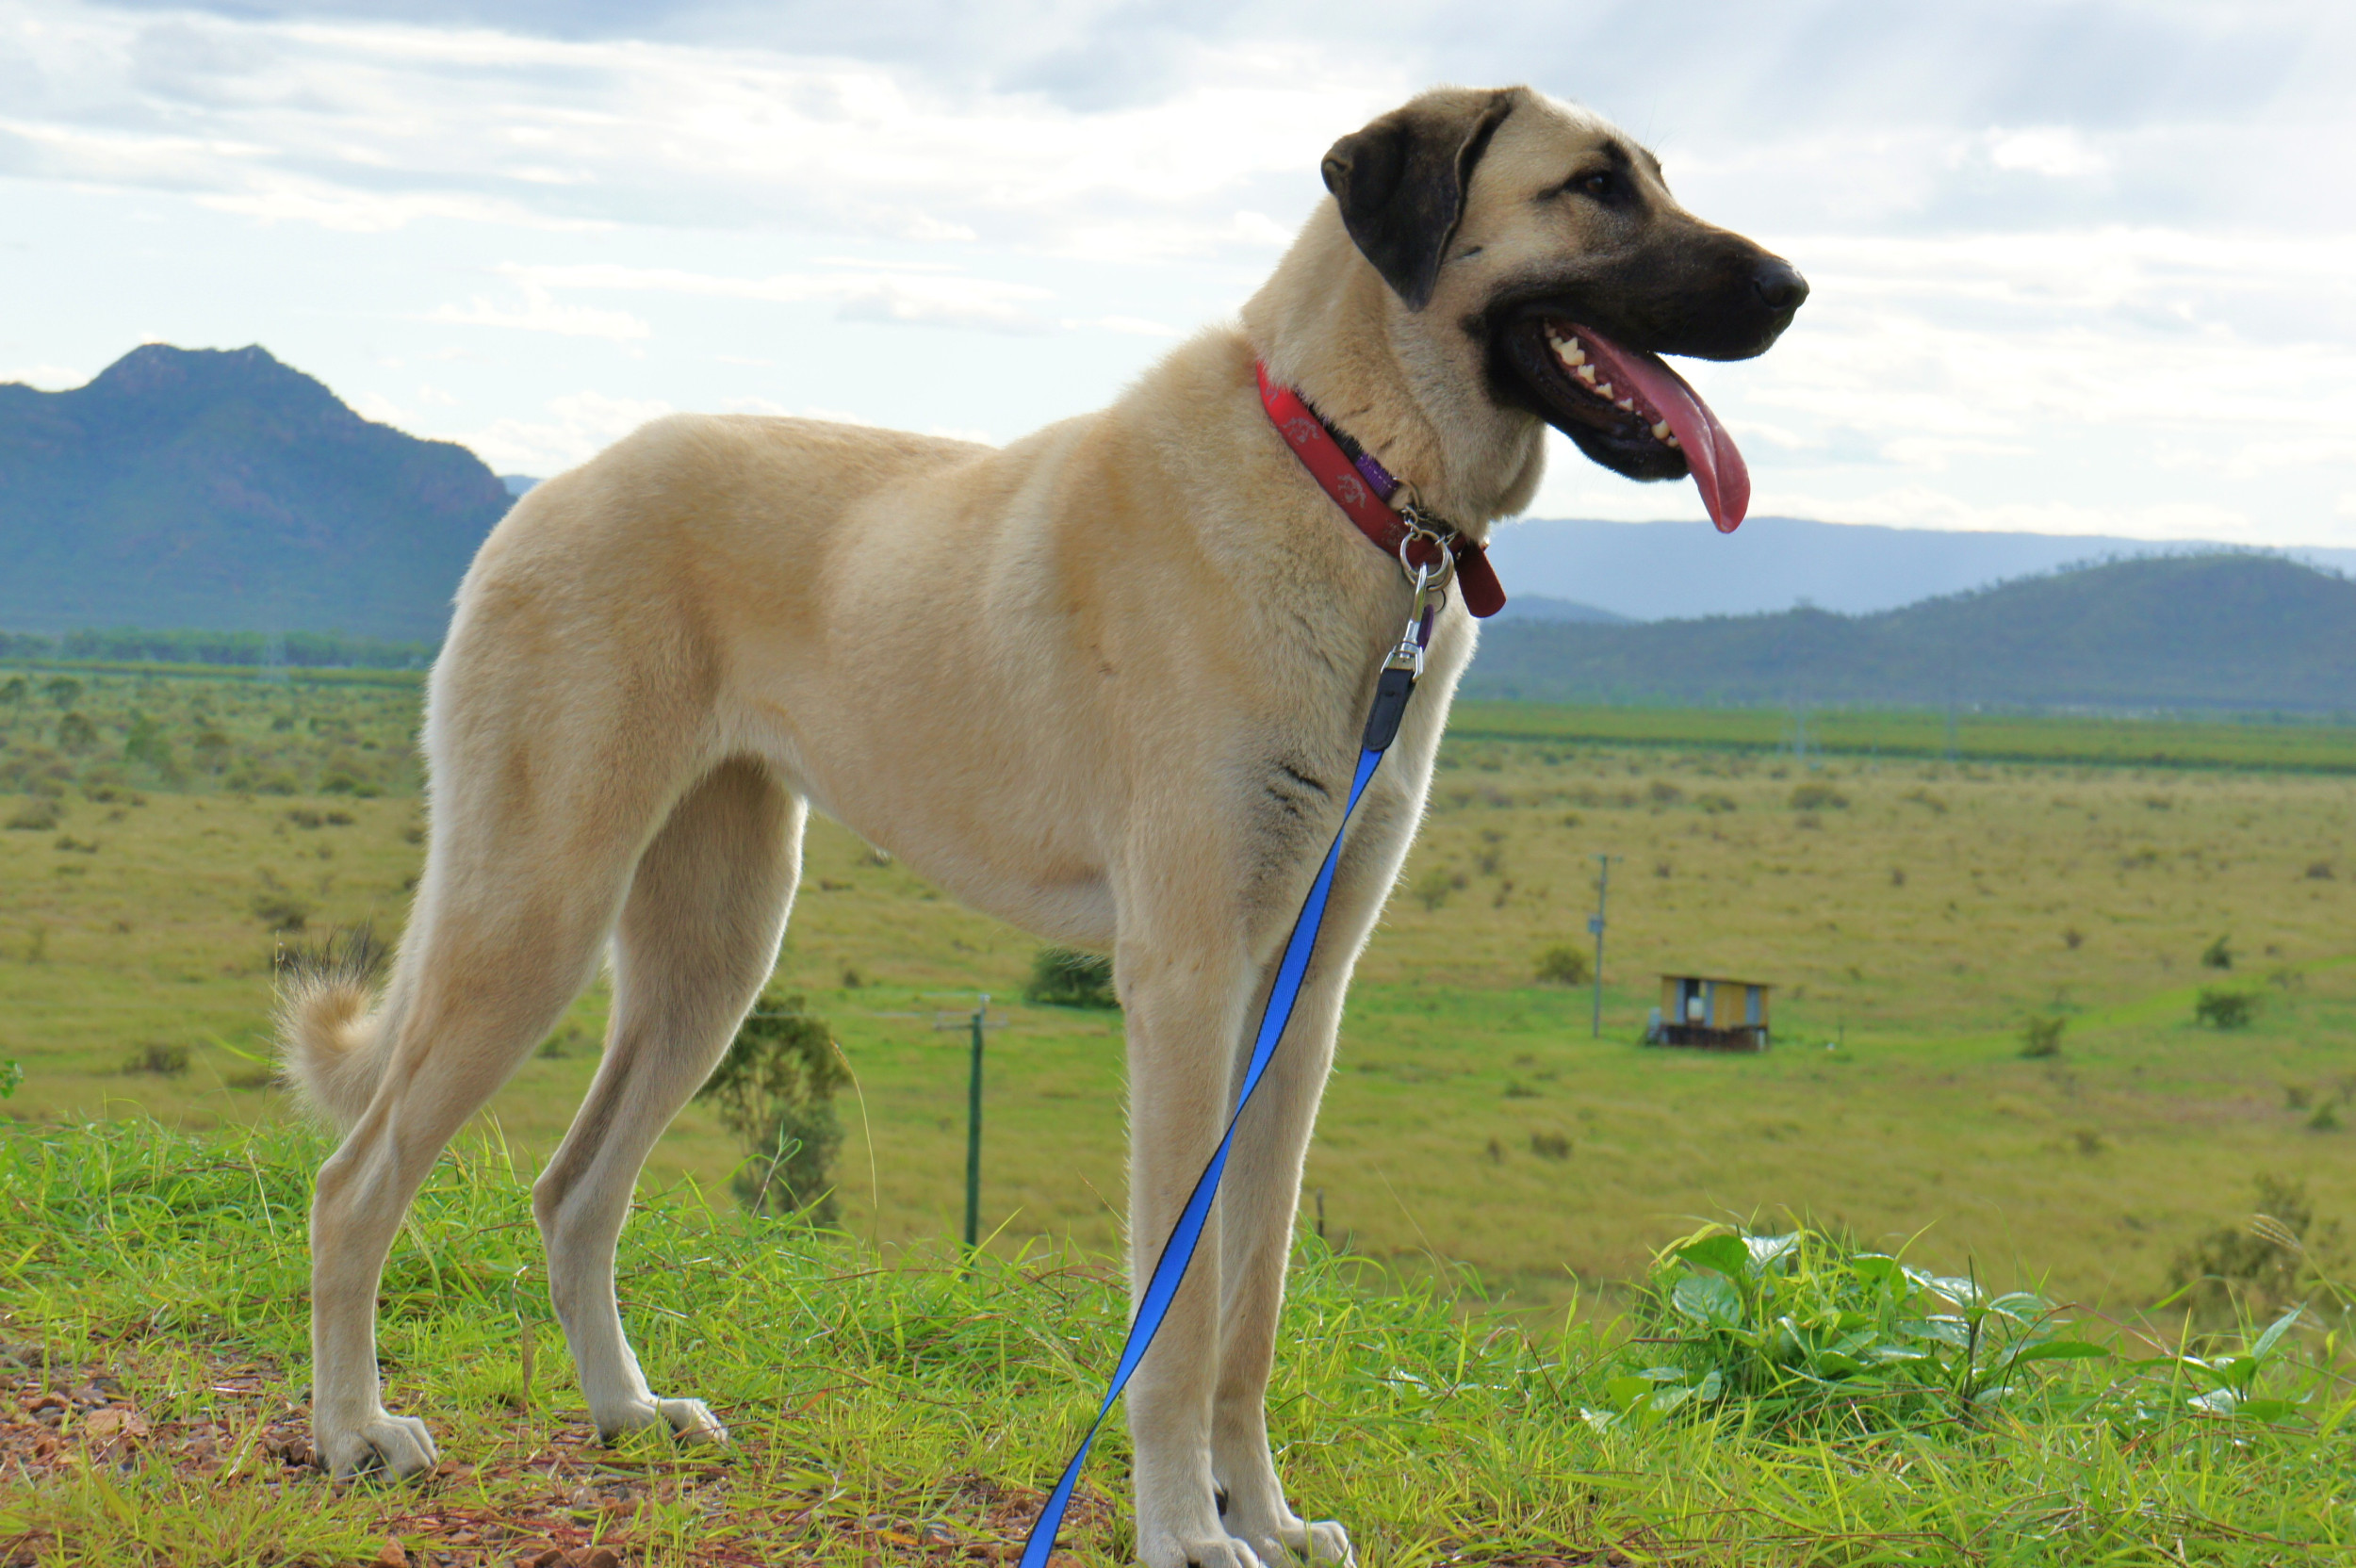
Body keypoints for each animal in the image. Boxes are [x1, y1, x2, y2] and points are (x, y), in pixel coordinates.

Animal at [285, 82, 1809, 1563]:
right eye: (1593, 186)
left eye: (1653, 175)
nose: (1795, 287)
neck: (1345, 462)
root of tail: (545, 492)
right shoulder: (1185, 986)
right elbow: (1178, 1319)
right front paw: (1184, 1530)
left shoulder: (1297, 1003)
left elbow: (1253, 1304)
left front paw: (1262, 1514)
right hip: (535, 908)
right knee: (356, 1183)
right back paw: (357, 1431)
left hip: (712, 957)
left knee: (574, 1189)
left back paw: (624, 1411)